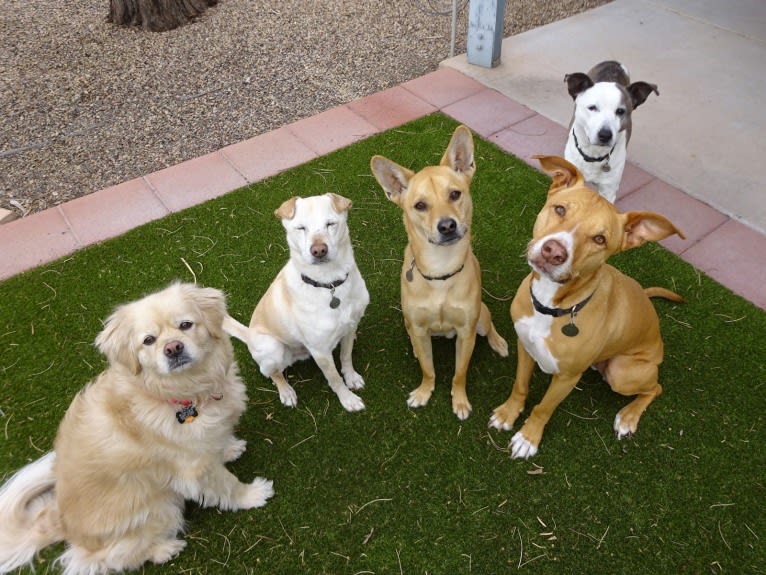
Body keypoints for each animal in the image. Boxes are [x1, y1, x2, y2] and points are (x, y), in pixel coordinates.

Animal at [0, 284, 274, 575]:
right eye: (149, 340)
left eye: (185, 325)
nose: (173, 348)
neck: (183, 394)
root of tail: (61, 524)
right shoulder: (196, 470)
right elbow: (227, 486)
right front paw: (253, 494)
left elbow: (218, 445)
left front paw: (229, 448)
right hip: (161, 510)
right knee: (112, 559)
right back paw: (165, 549)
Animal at [224, 196, 370, 412]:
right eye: (301, 228)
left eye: (330, 224)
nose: (319, 250)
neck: (329, 284)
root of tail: (248, 334)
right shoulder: (320, 351)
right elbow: (334, 378)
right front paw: (348, 399)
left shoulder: (351, 327)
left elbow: (346, 357)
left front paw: (351, 378)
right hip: (272, 348)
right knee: (273, 374)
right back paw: (286, 392)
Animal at [372, 126, 510, 420]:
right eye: (420, 205)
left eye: (455, 194)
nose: (447, 226)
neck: (441, 272)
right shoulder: (419, 327)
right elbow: (428, 369)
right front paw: (424, 392)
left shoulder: (467, 332)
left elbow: (460, 373)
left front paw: (460, 401)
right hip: (409, 322)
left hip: (481, 317)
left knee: (489, 324)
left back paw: (498, 342)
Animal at [496, 154, 688, 460]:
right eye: (560, 209)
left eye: (600, 239)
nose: (554, 251)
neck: (552, 305)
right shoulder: (524, 346)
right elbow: (520, 386)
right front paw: (507, 414)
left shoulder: (567, 377)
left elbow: (544, 408)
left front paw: (528, 437)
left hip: (623, 372)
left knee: (655, 388)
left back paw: (628, 417)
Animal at [564, 60, 660, 204]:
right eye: (592, 107)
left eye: (620, 111)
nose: (605, 135)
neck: (594, 154)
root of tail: (614, 62)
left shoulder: (609, 190)